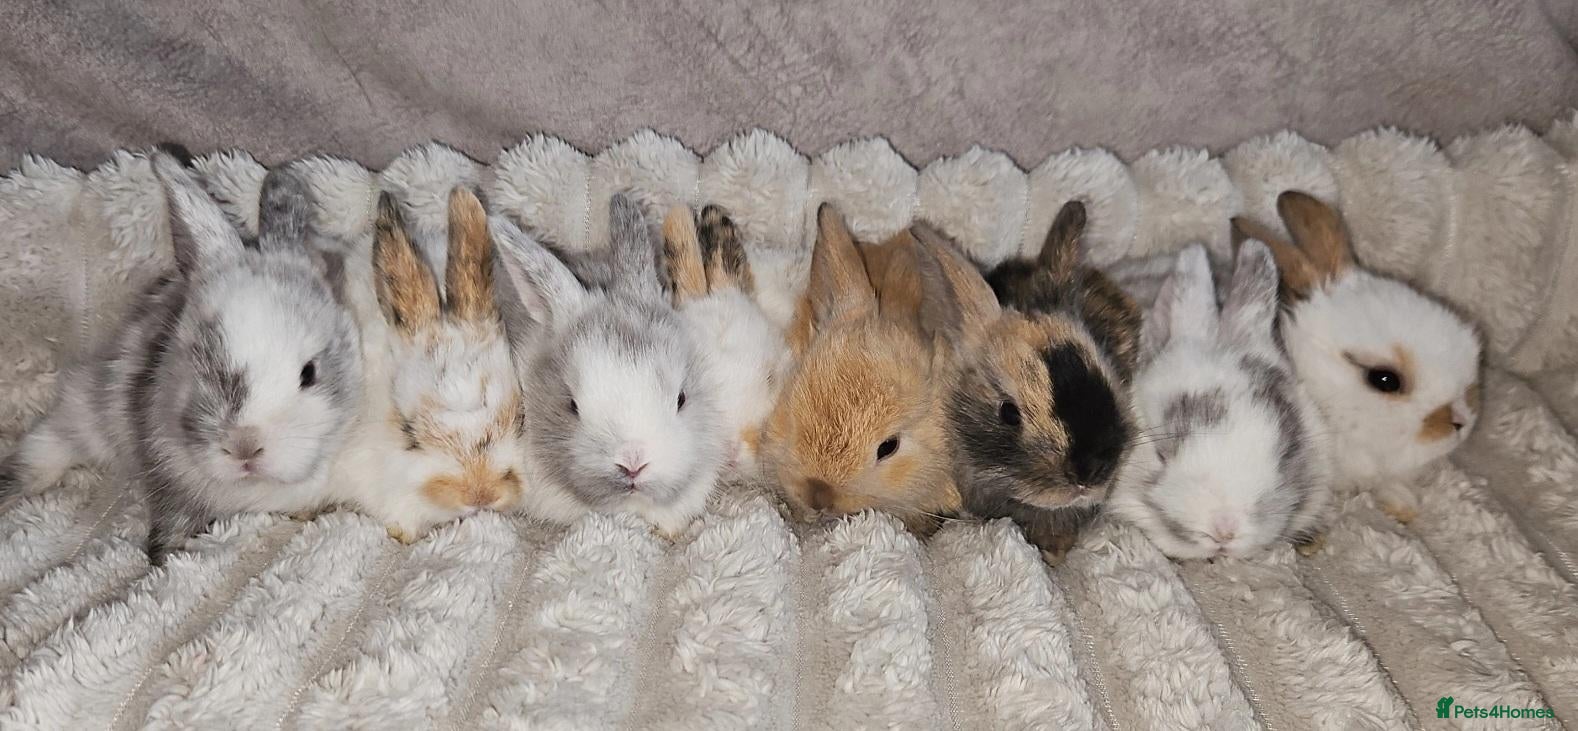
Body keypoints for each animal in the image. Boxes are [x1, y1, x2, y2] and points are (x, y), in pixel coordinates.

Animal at [0, 152, 362, 562]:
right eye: (197, 360)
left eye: (309, 373)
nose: (243, 447)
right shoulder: (168, 475)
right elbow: (171, 521)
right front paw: (164, 558)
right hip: (81, 412)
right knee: (39, 457)